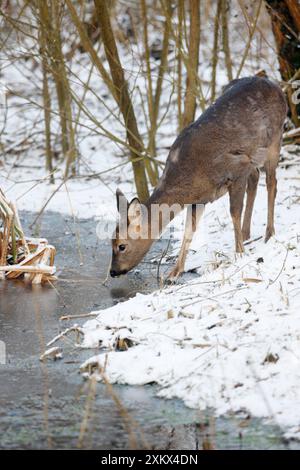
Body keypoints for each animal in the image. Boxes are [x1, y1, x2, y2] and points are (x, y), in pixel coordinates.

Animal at [109, 76, 286, 280]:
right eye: (110, 242)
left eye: (121, 246)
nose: (113, 271)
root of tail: (275, 85)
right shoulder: (199, 199)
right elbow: (188, 231)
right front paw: (174, 272)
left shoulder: (236, 168)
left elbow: (234, 212)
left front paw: (239, 253)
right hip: (255, 154)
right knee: (255, 177)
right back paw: (247, 233)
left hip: (275, 139)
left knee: (272, 182)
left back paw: (269, 233)